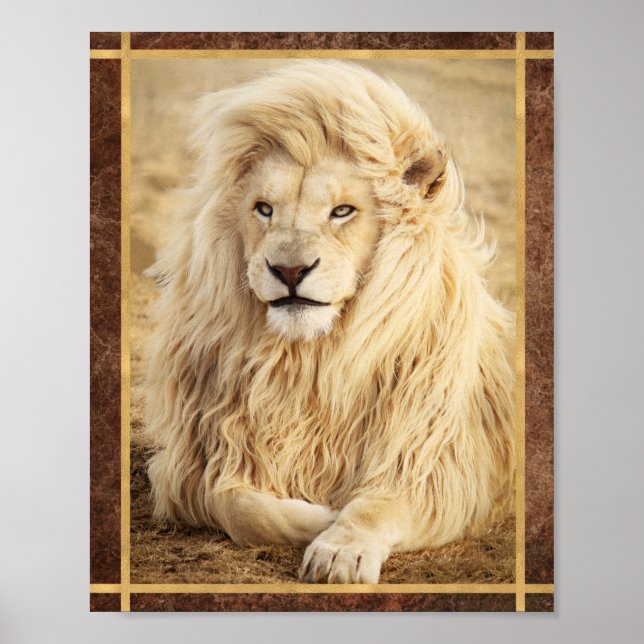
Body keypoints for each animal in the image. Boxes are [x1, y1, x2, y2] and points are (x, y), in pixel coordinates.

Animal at [145, 61, 515, 584]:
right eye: (264, 208)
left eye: (342, 211)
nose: (289, 270)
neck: (310, 362)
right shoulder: (199, 462)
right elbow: (237, 505)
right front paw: (319, 516)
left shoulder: (437, 466)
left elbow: (375, 506)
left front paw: (340, 548)